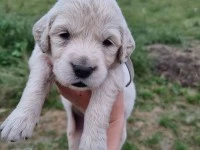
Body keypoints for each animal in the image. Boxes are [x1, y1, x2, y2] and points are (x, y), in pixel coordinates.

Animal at [0, 0, 136, 149]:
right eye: (64, 34)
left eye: (108, 42)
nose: (82, 69)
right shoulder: (40, 55)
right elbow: (35, 85)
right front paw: (19, 120)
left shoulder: (114, 74)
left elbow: (98, 107)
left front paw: (93, 143)